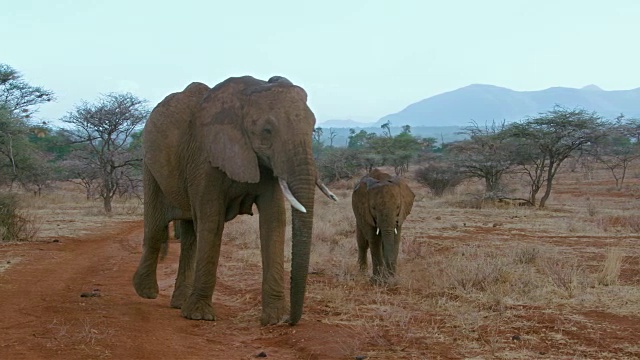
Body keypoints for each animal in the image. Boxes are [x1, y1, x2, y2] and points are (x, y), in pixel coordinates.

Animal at [133, 76, 338, 326]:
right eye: (267, 131)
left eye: (312, 127)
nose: (291, 321)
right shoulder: (205, 158)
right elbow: (212, 222)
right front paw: (200, 316)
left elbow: (274, 221)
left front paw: (274, 319)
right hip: (150, 167)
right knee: (156, 228)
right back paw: (146, 292)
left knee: (190, 236)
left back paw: (179, 303)